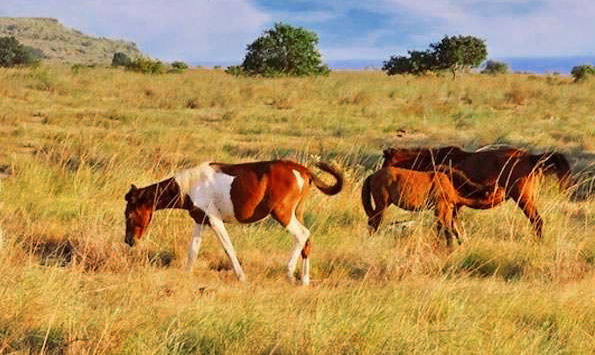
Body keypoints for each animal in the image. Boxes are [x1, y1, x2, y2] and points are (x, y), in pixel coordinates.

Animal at [123, 161, 342, 286]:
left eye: (130, 214)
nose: (129, 241)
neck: (192, 185)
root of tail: (302, 170)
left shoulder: (215, 220)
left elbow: (228, 248)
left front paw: (241, 277)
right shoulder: (200, 221)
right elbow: (193, 250)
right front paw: (186, 274)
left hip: (283, 214)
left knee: (302, 235)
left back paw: (289, 274)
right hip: (296, 213)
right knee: (307, 241)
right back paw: (304, 281)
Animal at [360, 167, 500, 248]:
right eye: (497, 192)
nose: (503, 191)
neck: (452, 183)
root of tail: (373, 175)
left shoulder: (448, 208)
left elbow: (451, 229)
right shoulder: (441, 207)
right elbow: (445, 229)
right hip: (382, 205)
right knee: (374, 222)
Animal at [384, 146, 576, 241]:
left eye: (385, 160)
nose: (379, 173)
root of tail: (529, 157)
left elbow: (445, 226)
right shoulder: (455, 205)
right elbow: (453, 226)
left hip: (523, 198)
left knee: (537, 221)